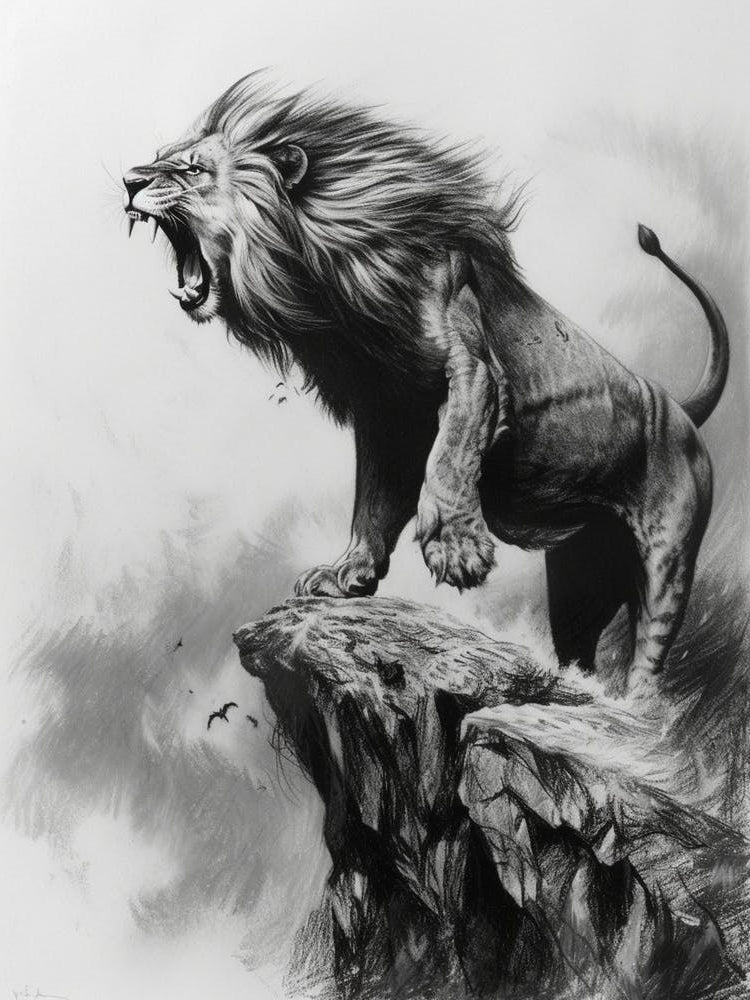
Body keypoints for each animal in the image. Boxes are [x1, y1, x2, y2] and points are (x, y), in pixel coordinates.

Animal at [123, 73, 729, 694]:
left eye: (193, 169)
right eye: (160, 158)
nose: (129, 180)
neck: (335, 284)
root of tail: (680, 408)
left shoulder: (473, 370)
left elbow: (448, 459)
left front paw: (457, 550)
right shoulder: (385, 417)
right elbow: (372, 502)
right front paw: (346, 577)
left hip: (667, 561)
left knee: (649, 658)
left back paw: (633, 705)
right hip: (577, 580)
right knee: (580, 652)